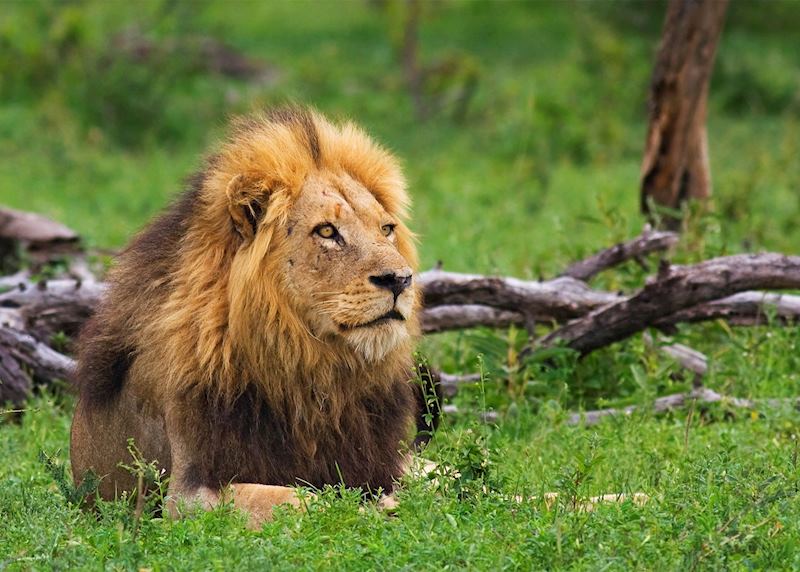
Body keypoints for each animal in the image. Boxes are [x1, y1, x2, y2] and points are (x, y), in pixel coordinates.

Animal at [70, 106, 432, 526]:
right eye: (326, 231)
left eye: (386, 229)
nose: (400, 280)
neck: (313, 368)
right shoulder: (186, 493)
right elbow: (302, 498)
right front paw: (373, 508)